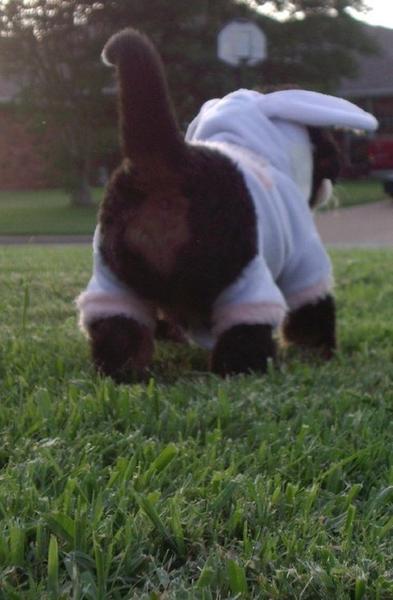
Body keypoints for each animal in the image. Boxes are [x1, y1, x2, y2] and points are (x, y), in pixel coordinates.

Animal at [76, 29, 376, 380]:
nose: (333, 179)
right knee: (243, 334)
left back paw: (123, 372)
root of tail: (168, 163)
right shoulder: (305, 258)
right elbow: (312, 310)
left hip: (116, 283)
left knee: (118, 329)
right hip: (243, 278)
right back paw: (245, 370)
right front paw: (317, 352)